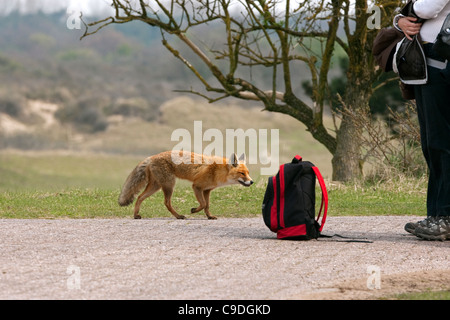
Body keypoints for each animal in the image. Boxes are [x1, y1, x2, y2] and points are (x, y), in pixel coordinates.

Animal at [118, 151, 253, 219]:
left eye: (248, 173)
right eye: (242, 173)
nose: (252, 182)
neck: (217, 171)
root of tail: (151, 156)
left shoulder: (207, 190)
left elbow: (207, 206)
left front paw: (209, 216)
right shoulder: (197, 186)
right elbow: (203, 204)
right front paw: (193, 211)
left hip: (156, 186)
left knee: (139, 197)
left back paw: (136, 215)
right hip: (169, 184)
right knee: (166, 202)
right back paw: (178, 216)